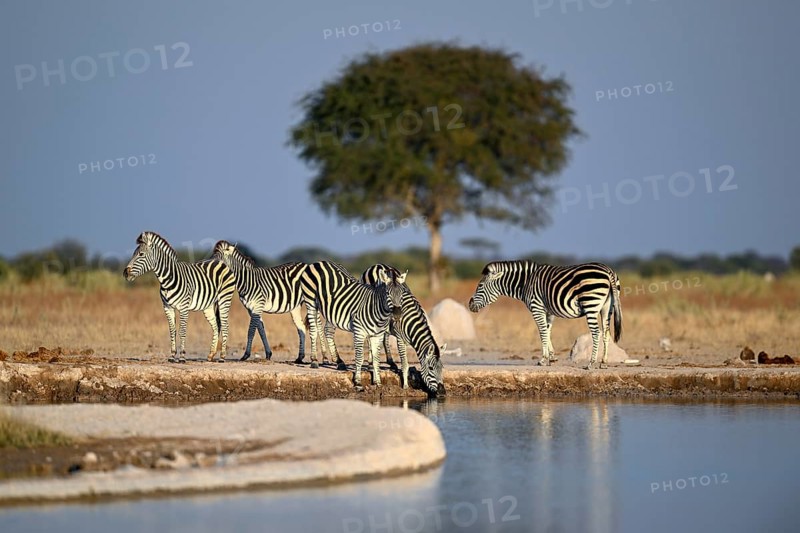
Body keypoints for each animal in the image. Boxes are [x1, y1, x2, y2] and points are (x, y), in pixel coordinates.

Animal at [123, 231, 236, 363]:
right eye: (133, 254)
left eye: (141, 254)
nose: (125, 273)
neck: (167, 280)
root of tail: (220, 262)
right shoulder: (167, 307)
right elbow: (172, 331)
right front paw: (172, 356)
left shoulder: (184, 307)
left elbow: (182, 331)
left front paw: (182, 356)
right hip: (208, 306)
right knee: (216, 326)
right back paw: (211, 355)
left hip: (224, 299)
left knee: (225, 326)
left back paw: (222, 357)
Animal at [300, 261, 407, 389]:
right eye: (387, 293)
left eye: (402, 293)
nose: (397, 314)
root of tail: (318, 262)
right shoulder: (359, 332)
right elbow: (359, 358)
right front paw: (358, 382)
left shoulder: (377, 335)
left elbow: (376, 359)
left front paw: (378, 383)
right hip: (310, 301)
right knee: (313, 330)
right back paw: (314, 360)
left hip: (331, 310)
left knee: (328, 331)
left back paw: (339, 362)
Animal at [361, 264, 445, 397]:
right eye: (431, 369)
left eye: (442, 368)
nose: (442, 393)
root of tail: (376, 265)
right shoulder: (400, 339)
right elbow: (405, 364)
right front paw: (405, 387)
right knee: (370, 340)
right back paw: (371, 363)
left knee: (383, 339)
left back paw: (390, 362)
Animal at [468, 261, 622, 370]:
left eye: (480, 286)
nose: (470, 304)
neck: (525, 283)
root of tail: (608, 270)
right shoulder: (549, 311)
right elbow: (547, 331)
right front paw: (552, 358)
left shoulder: (537, 308)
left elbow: (542, 332)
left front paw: (543, 359)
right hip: (607, 308)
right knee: (606, 333)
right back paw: (603, 362)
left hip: (591, 304)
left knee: (596, 333)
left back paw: (591, 363)